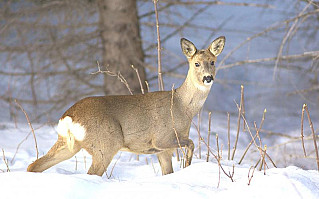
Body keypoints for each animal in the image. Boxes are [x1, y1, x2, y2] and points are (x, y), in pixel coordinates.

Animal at [28, 35, 228, 176]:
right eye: (196, 63)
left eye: (212, 62)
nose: (208, 78)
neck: (182, 107)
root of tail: (69, 117)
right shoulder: (161, 138)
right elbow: (192, 143)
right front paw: (187, 165)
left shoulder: (163, 150)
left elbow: (168, 172)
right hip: (106, 144)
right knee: (91, 173)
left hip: (67, 143)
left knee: (34, 165)